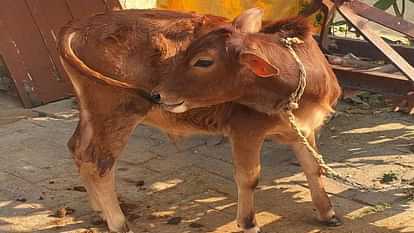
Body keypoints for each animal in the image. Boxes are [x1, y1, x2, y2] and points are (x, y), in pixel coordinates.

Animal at [59, 7, 342, 233]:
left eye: (203, 61)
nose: (158, 94)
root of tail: (79, 25)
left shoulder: (304, 130)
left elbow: (314, 168)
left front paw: (327, 212)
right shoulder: (245, 131)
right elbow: (249, 178)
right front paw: (248, 223)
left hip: (92, 114)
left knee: (78, 150)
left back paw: (99, 212)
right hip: (117, 113)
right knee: (100, 165)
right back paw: (117, 222)